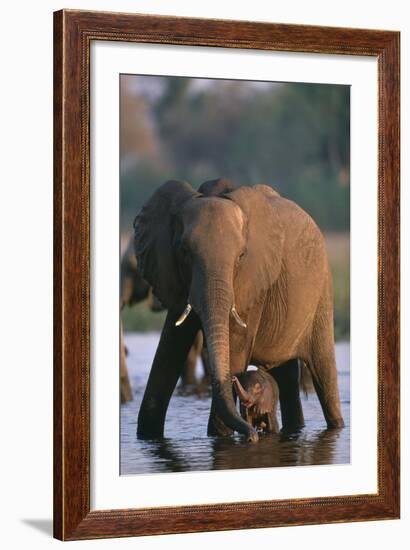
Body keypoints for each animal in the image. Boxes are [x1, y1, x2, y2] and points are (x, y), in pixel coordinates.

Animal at [134, 180, 342, 444]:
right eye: (183, 252)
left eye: (241, 256)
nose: (253, 436)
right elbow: (168, 352)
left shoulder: (254, 285)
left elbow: (235, 351)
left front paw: (223, 438)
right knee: (285, 377)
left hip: (322, 294)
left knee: (324, 373)